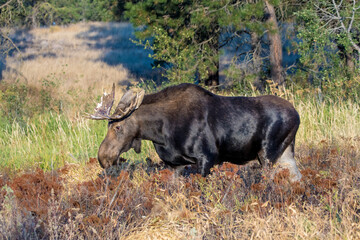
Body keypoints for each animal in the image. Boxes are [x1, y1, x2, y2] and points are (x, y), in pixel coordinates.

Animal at [88, 83, 302, 181]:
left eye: (117, 126)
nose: (103, 158)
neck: (160, 134)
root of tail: (297, 115)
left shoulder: (208, 157)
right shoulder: (174, 164)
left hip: (267, 154)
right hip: (285, 153)